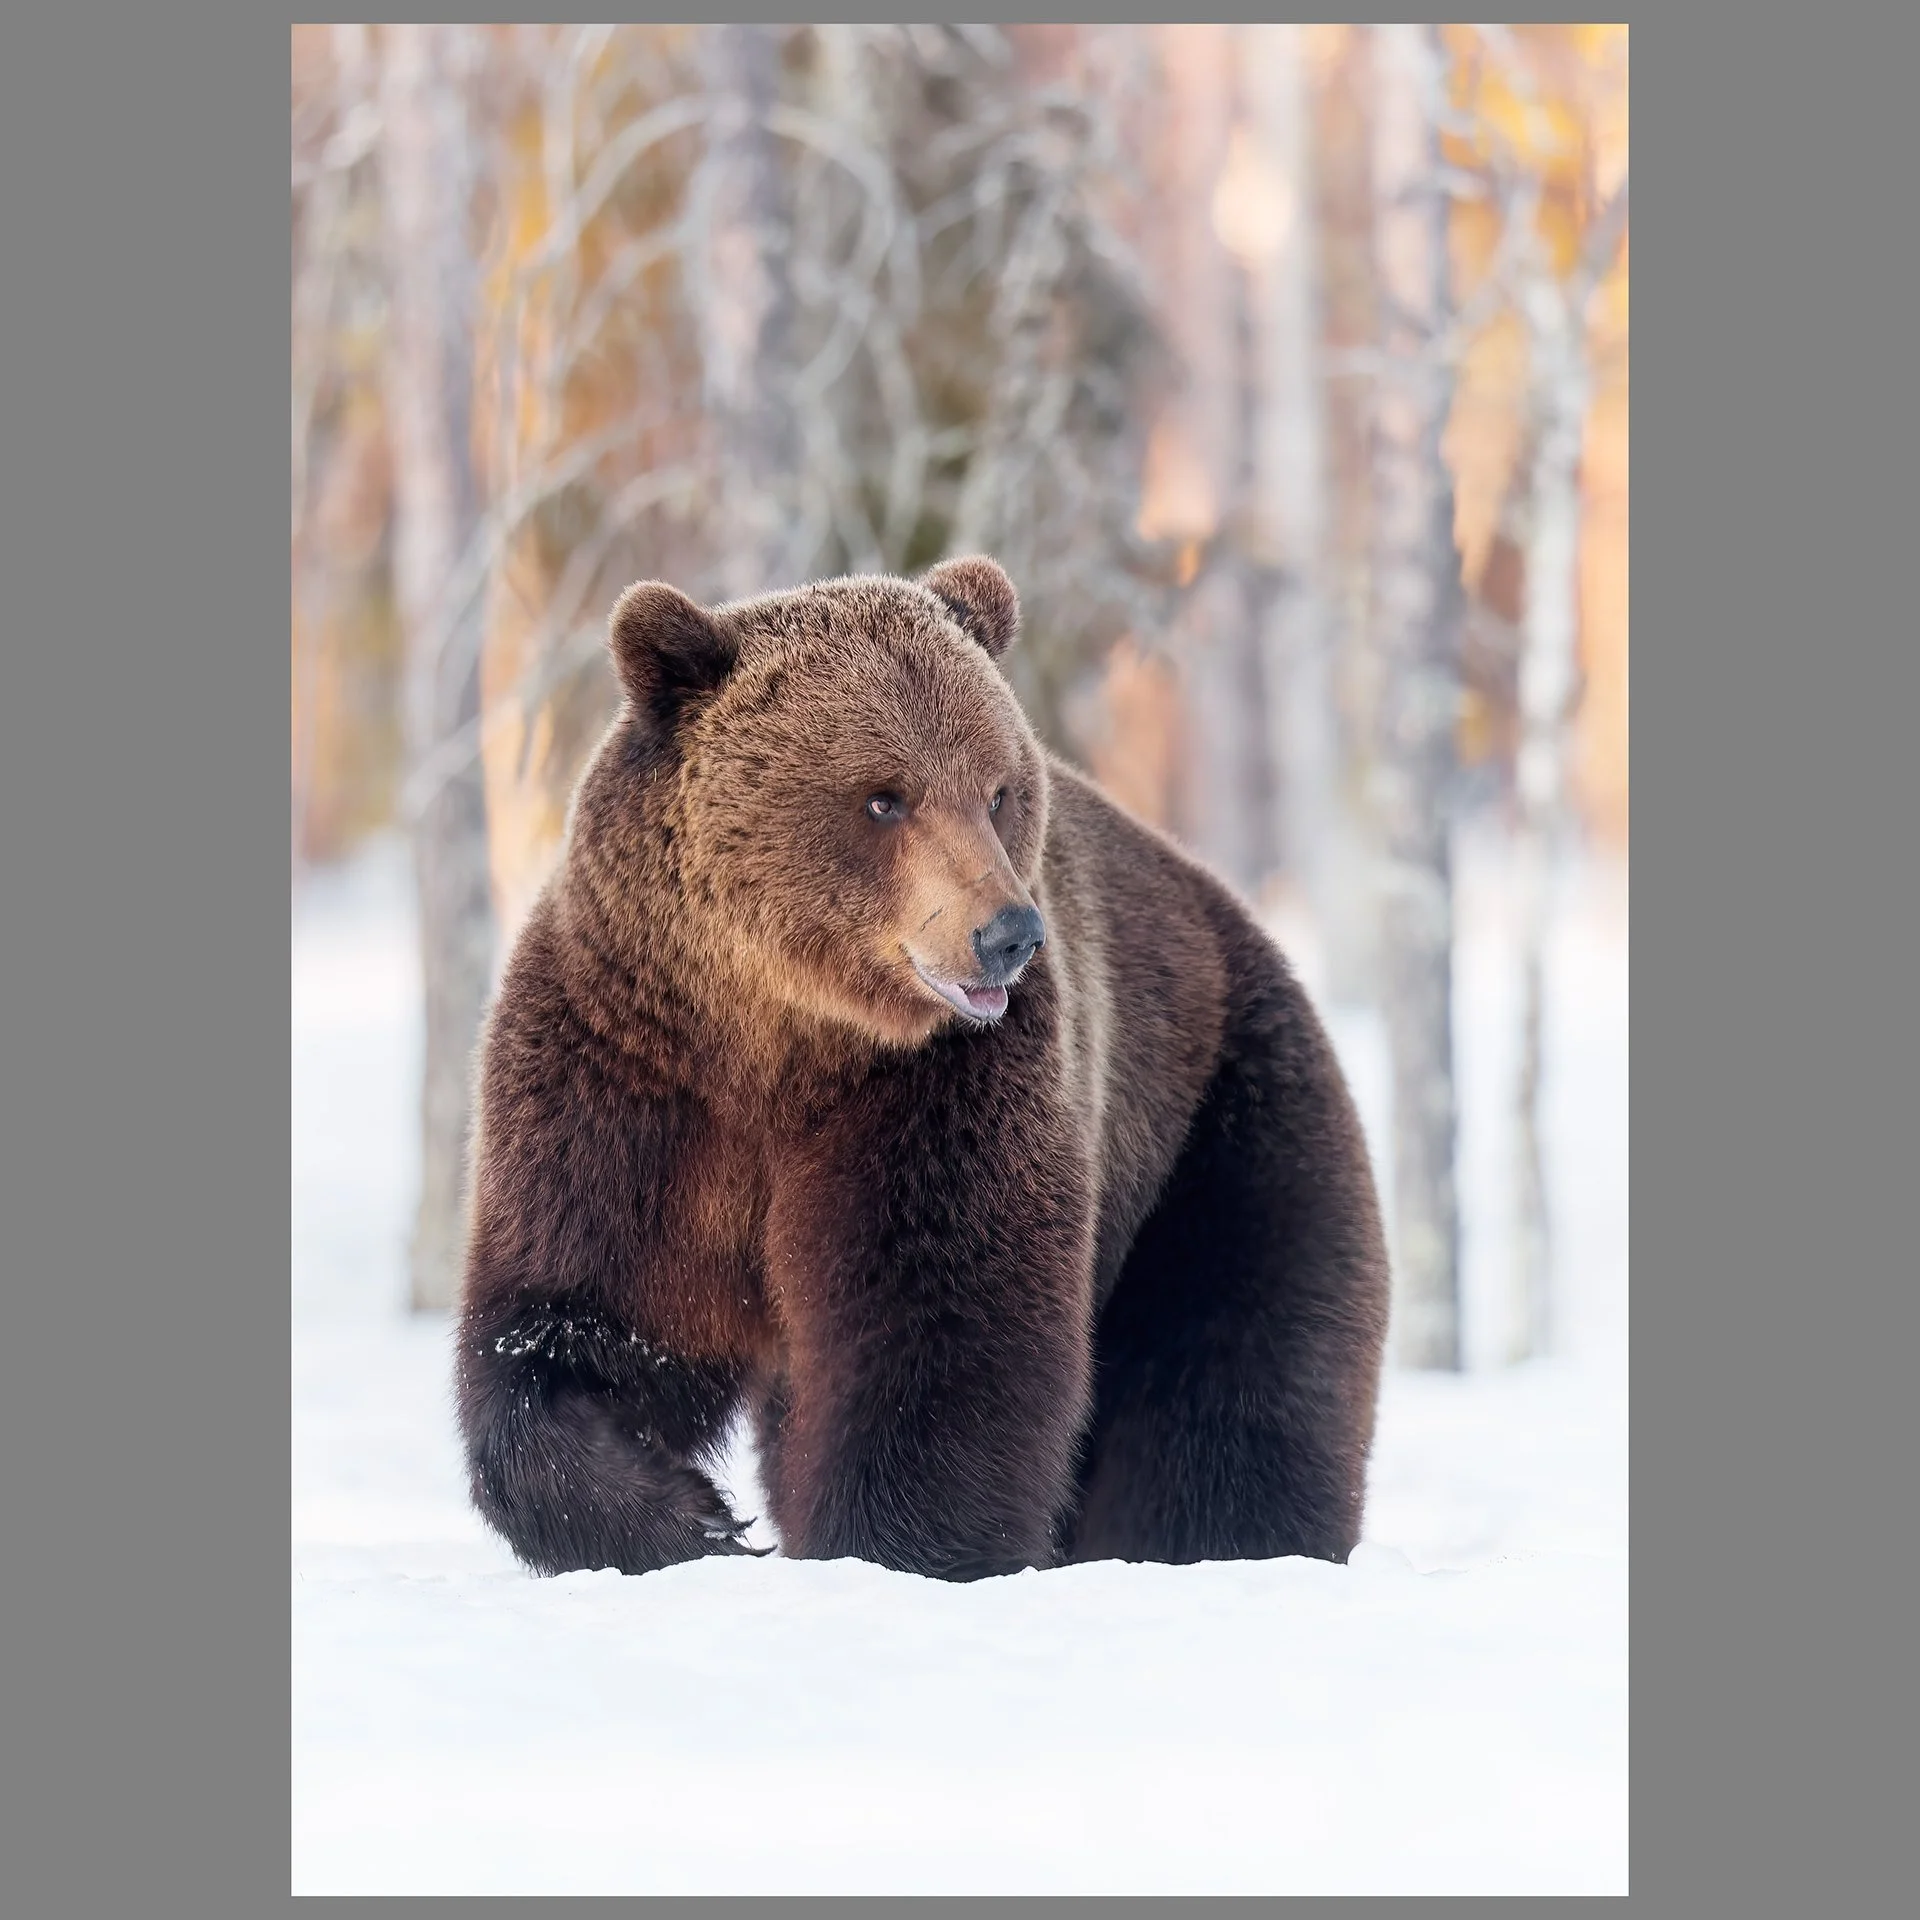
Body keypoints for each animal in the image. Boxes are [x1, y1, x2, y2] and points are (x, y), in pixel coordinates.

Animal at [454, 556, 1390, 1582]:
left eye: (997, 789)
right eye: (882, 797)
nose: (1008, 933)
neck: (779, 1036)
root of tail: (1234, 921)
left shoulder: (939, 1088)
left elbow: (936, 1332)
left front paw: (888, 1549)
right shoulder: (626, 1078)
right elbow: (580, 1319)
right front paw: (691, 1517)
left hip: (1218, 1134)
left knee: (1230, 1385)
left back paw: (1232, 1544)